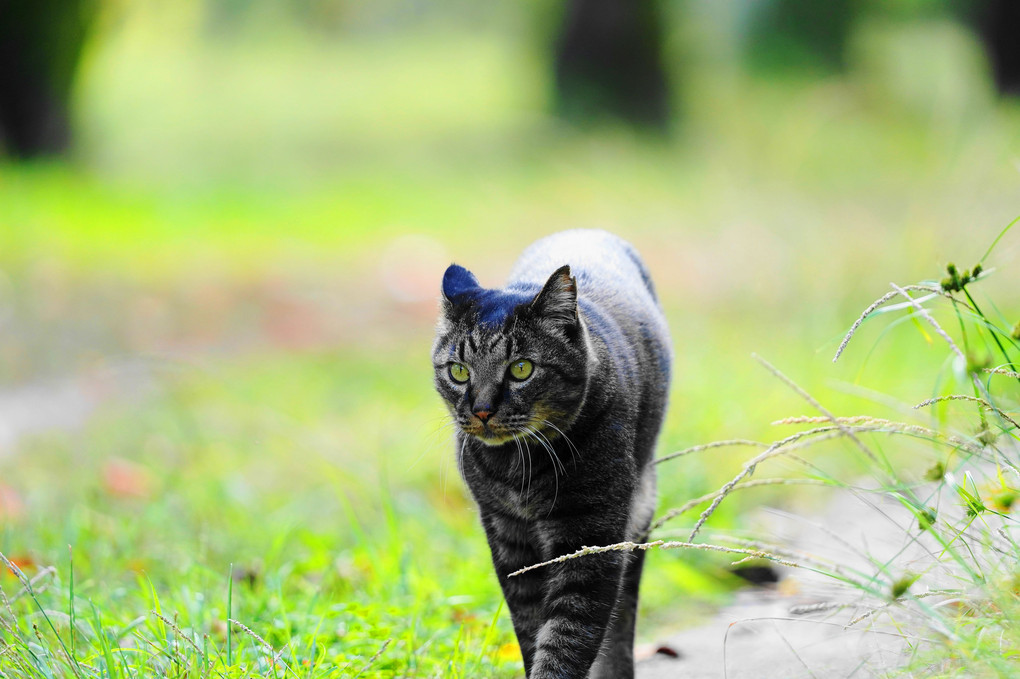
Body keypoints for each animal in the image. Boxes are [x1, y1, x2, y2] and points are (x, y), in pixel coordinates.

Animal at [428, 230, 669, 672]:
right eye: (458, 371)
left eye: (521, 368)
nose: (481, 410)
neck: (517, 468)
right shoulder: (508, 538)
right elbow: (531, 629)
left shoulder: (590, 537)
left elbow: (566, 637)